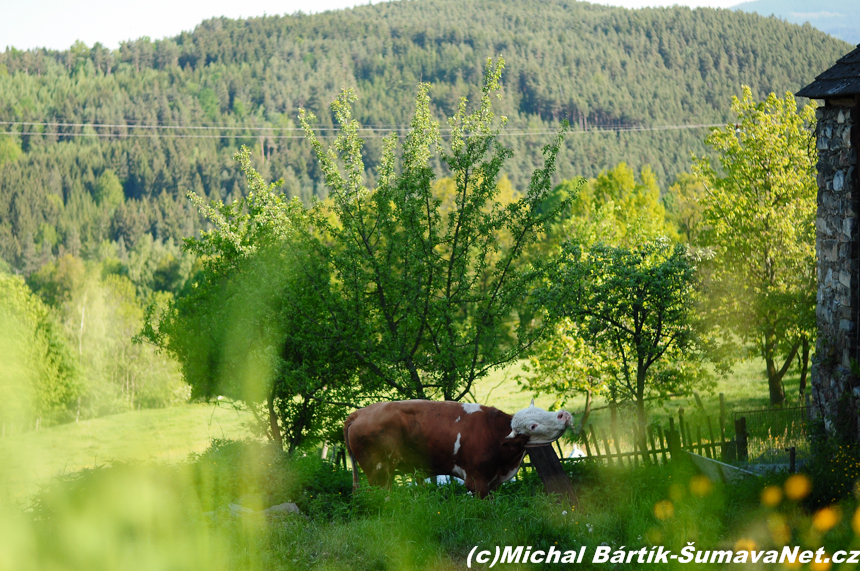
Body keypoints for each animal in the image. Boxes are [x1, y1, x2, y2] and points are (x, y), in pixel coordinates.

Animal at [342, 400, 572, 498]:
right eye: (532, 426)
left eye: (541, 410)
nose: (564, 414)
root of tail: (360, 412)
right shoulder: (477, 481)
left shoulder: (493, 480)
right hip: (379, 472)